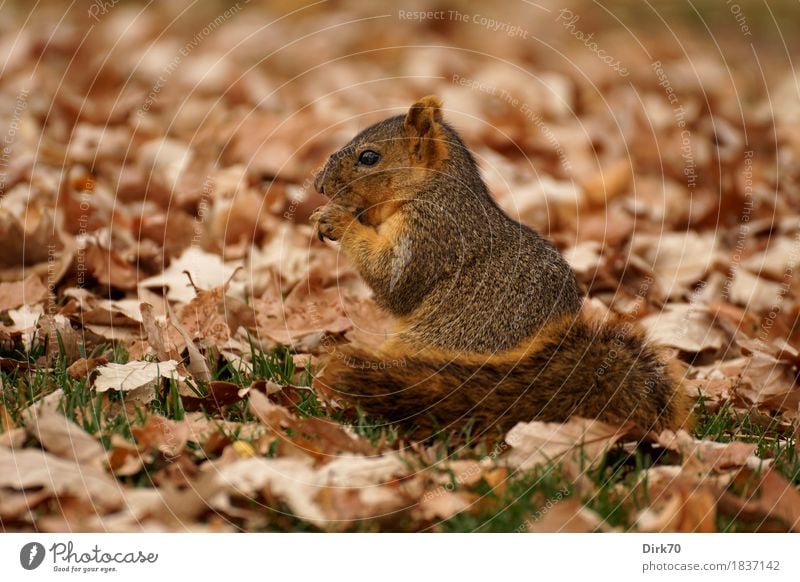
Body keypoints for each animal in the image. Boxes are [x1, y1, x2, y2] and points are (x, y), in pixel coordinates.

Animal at [310, 97, 692, 442]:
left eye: (369, 157)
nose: (319, 184)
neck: (432, 189)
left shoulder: (432, 234)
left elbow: (393, 280)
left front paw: (338, 219)